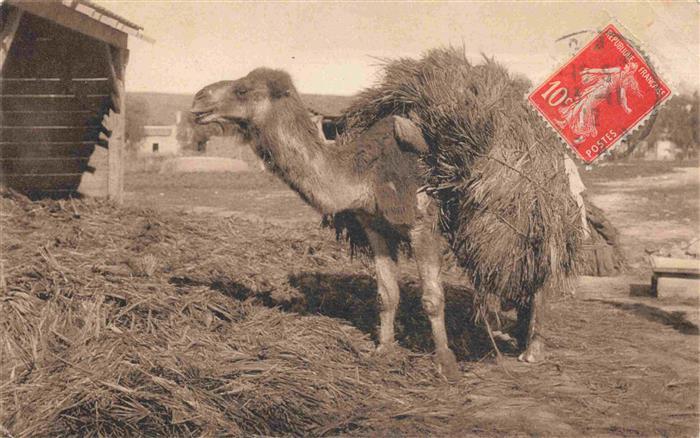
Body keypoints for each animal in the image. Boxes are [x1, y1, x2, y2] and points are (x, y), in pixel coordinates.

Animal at [191, 68, 546, 379]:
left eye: (242, 89)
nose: (198, 99)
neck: (367, 174)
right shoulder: (375, 227)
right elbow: (386, 294)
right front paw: (383, 350)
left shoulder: (423, 224)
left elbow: (432, 298)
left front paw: (446, 364)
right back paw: (512, 334)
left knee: (539, 276)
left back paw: (531, 350)